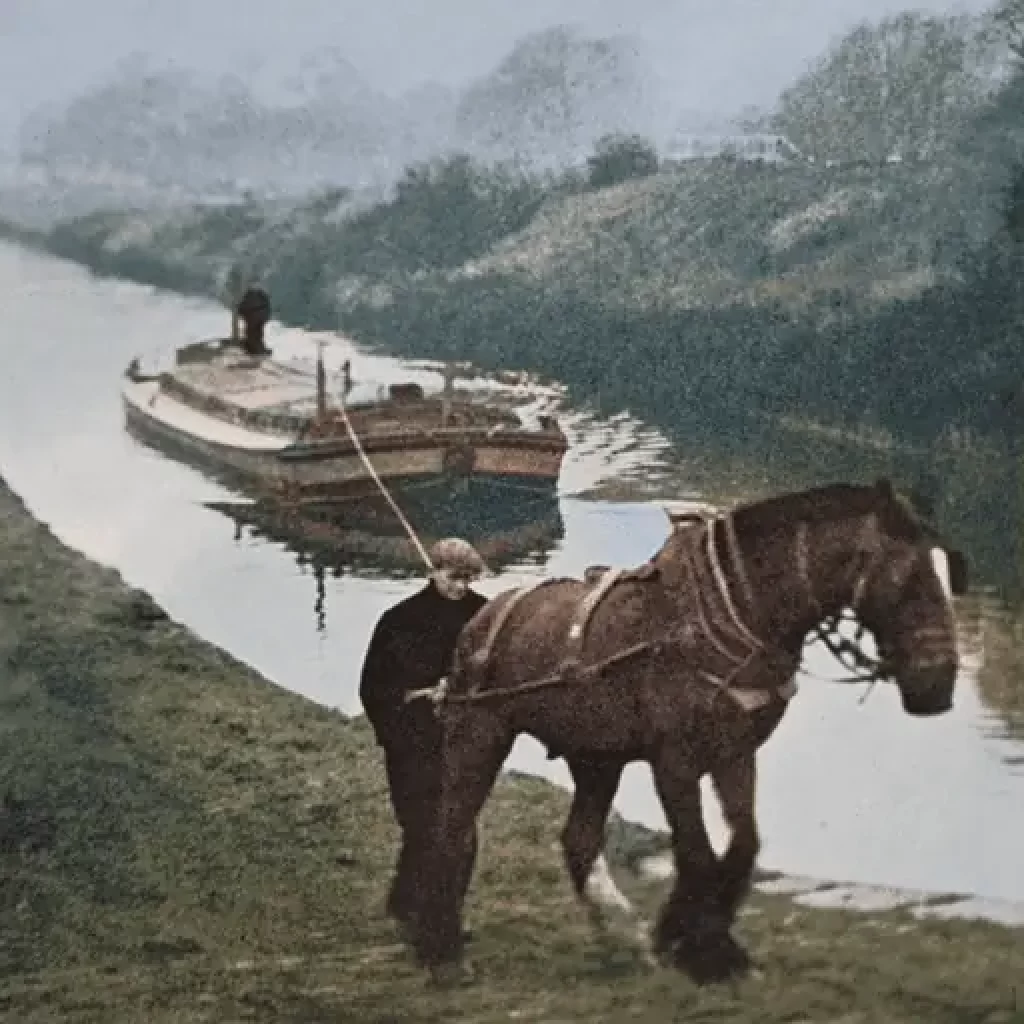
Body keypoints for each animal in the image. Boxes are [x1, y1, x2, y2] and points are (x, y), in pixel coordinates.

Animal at [405, 479, 966, 983]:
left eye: (950, 571)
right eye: (907, 578)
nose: (939, 685)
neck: (731, 611)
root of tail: (482, 616)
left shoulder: (735, 751)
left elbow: (743, 844)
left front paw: (698, 939)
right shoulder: (674, 760)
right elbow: (696, 853)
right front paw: (701, 950)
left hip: (596, 756)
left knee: (578, 839)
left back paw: (619, 935)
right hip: (479, 735)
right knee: (450, 830)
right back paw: (441, 949)